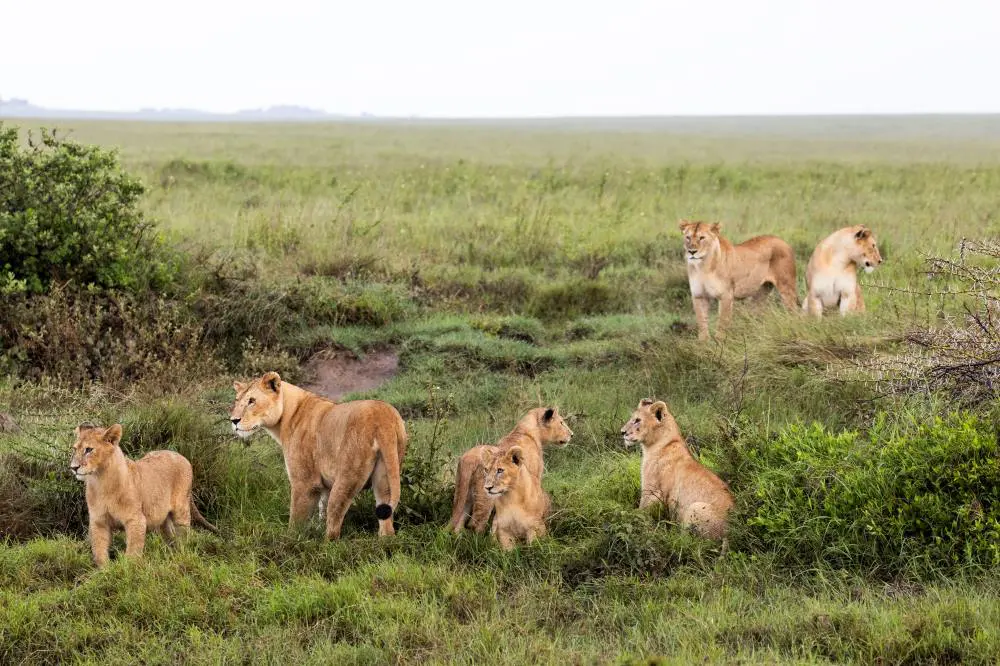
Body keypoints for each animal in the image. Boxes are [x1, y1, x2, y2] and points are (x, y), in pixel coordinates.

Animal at [70, 423, 218, 567]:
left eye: (89, 450)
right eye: (75, 449)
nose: (73, 468)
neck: (101, 481)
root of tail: (179, 455)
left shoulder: (136, 520)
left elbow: (133, 552)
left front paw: (128, 570)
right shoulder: (99, 521)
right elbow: (99, 552)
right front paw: (104, 571)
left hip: (181, 510)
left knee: (183, 533)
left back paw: (181, 554)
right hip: (161, 514)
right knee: (168, 533)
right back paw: (169, 555)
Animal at [230, 371, 407, 539]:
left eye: (252, 401)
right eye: (237, 400)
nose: (233, 420)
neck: (287, 415)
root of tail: (383, 418)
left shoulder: (305, 482)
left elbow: (297, 519)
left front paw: (290, 541)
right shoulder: (325, 485)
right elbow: (322, 509)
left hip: (347, 476)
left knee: (334, 525)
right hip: (387, 475)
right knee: (386, 525)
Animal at [621, 399, 734, 540]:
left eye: (637, 420)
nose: (622, 432)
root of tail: (731, 533)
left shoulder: (652, 490)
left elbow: (639, 512)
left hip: (695, 508)